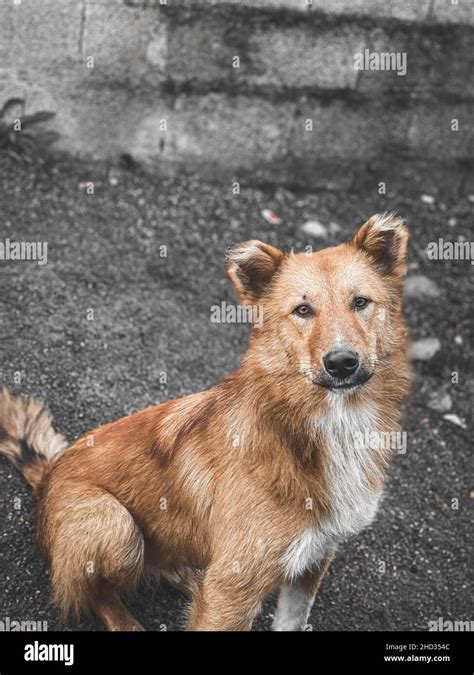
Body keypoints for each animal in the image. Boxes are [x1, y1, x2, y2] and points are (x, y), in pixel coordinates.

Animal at [0, 213, 412, 632]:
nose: (342, 362)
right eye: (303, 310)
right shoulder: (233, 586)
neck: (328, 425)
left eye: (360, 302)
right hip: (115, 525)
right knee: (97, 593)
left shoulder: (314, 559)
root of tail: (48, 473)